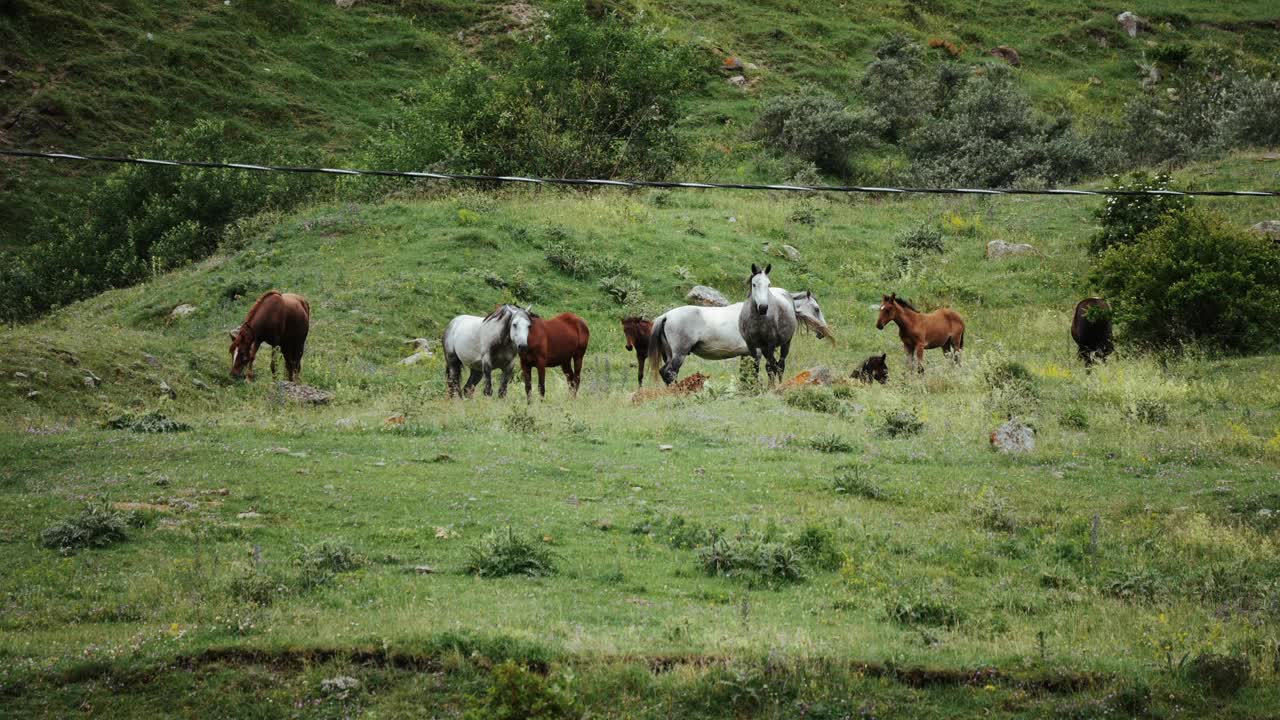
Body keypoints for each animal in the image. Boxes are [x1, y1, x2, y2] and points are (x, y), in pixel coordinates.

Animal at [645, 275, 834, 386]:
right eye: (816, 309)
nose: (823, 332)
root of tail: (666, 316)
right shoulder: (758, 352)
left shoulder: (747, 354)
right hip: (680, 354)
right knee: (669, 372)